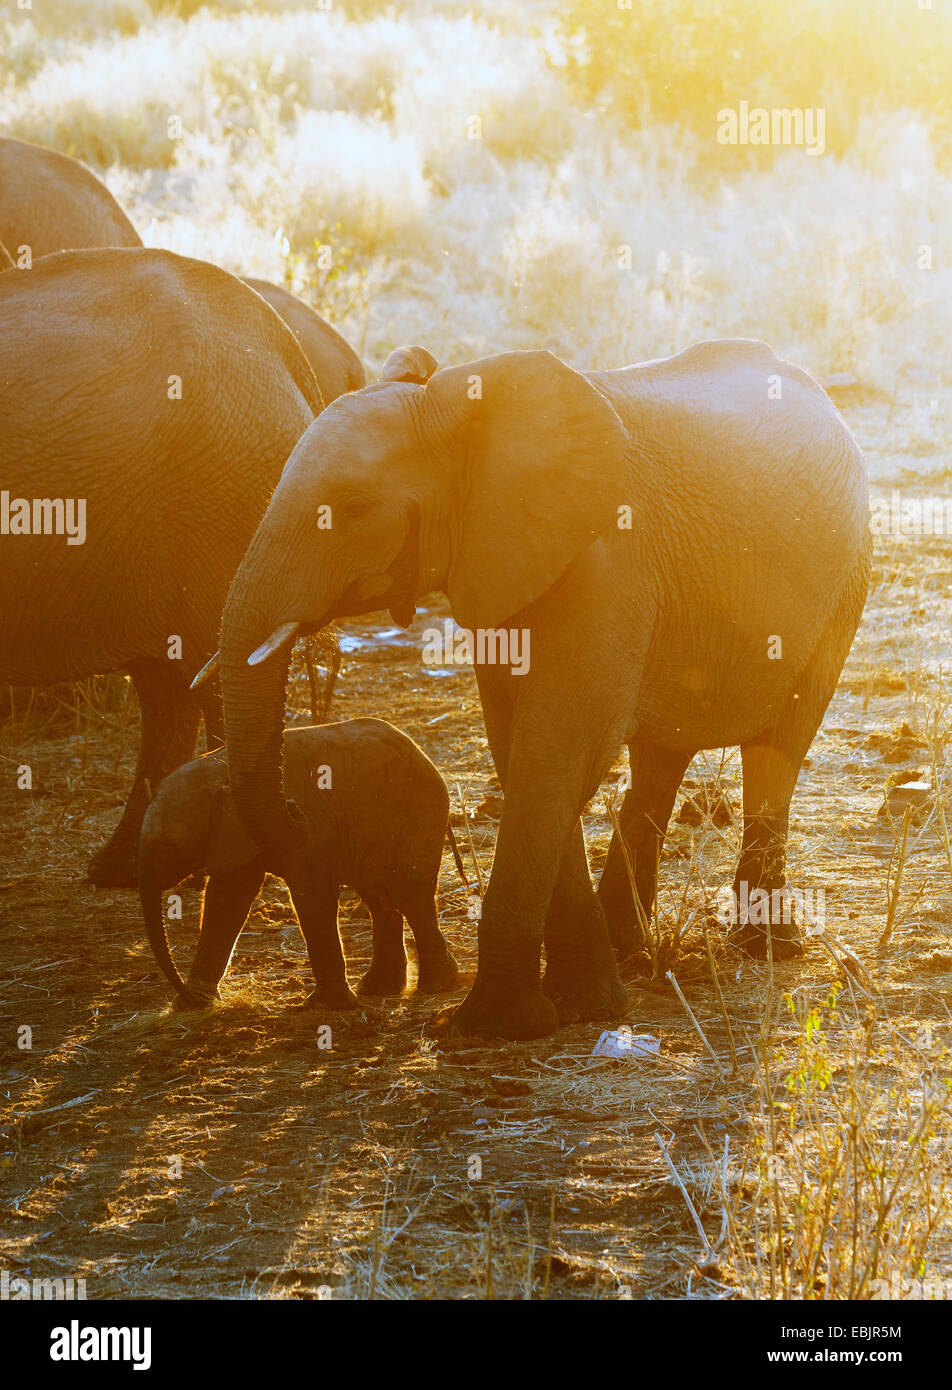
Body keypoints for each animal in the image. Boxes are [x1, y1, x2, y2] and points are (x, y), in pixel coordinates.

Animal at [137, 717, 461, 1011]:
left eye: (171, 843)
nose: (293, 807)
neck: (220, 770)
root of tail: (421, 752)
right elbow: (227, 899)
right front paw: (191, 1004)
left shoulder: (310, 830)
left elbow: (312, 896)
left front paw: (328, 1006)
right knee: (378, 899)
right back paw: (379, 988)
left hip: (419, 813)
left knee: (410, 894)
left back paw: (435, 986)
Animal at [214, 333, 867, 1034]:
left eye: (353, 508)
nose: (296, 813)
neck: (459, 407)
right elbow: (524, 750)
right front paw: (581, 1005)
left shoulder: (610, 567)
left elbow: (558, 748)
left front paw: (496, 1026)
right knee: (660, 760)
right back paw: (632, 952)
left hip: (845, 585)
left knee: (778, 750)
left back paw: (764, 946)